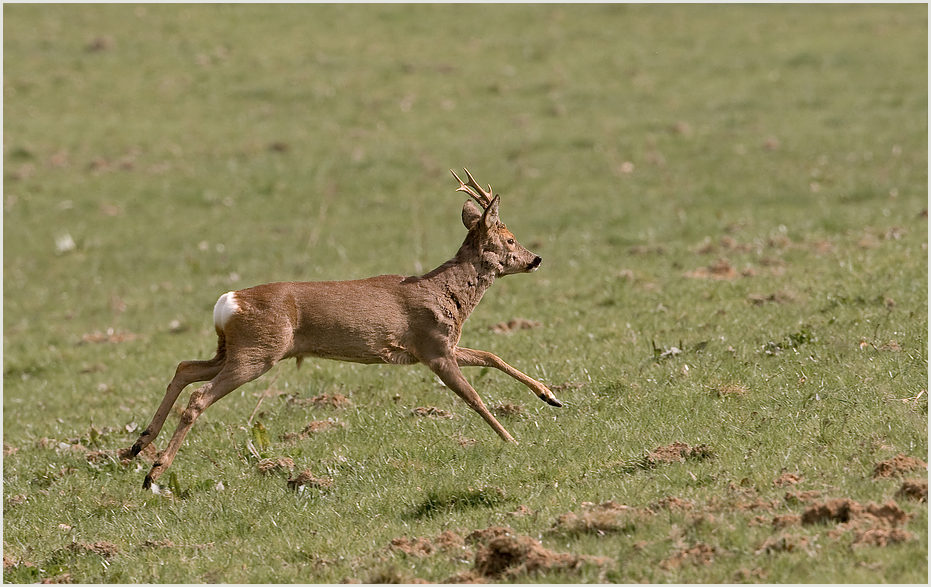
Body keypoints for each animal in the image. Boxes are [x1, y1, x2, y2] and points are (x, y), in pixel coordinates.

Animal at [123, 168, 560, 490]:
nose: (536, 258)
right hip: (257, 352)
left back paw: (137, 446)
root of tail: (228, 302)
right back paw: (154, 472)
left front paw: (550, 396)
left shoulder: (439, 347)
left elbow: (491, 355)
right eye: (510, 238)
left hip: (233, 349)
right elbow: (474, 398)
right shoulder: (434, 349)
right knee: (198, 396)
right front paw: (511, 439)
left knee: (184, 368)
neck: (446, 293)